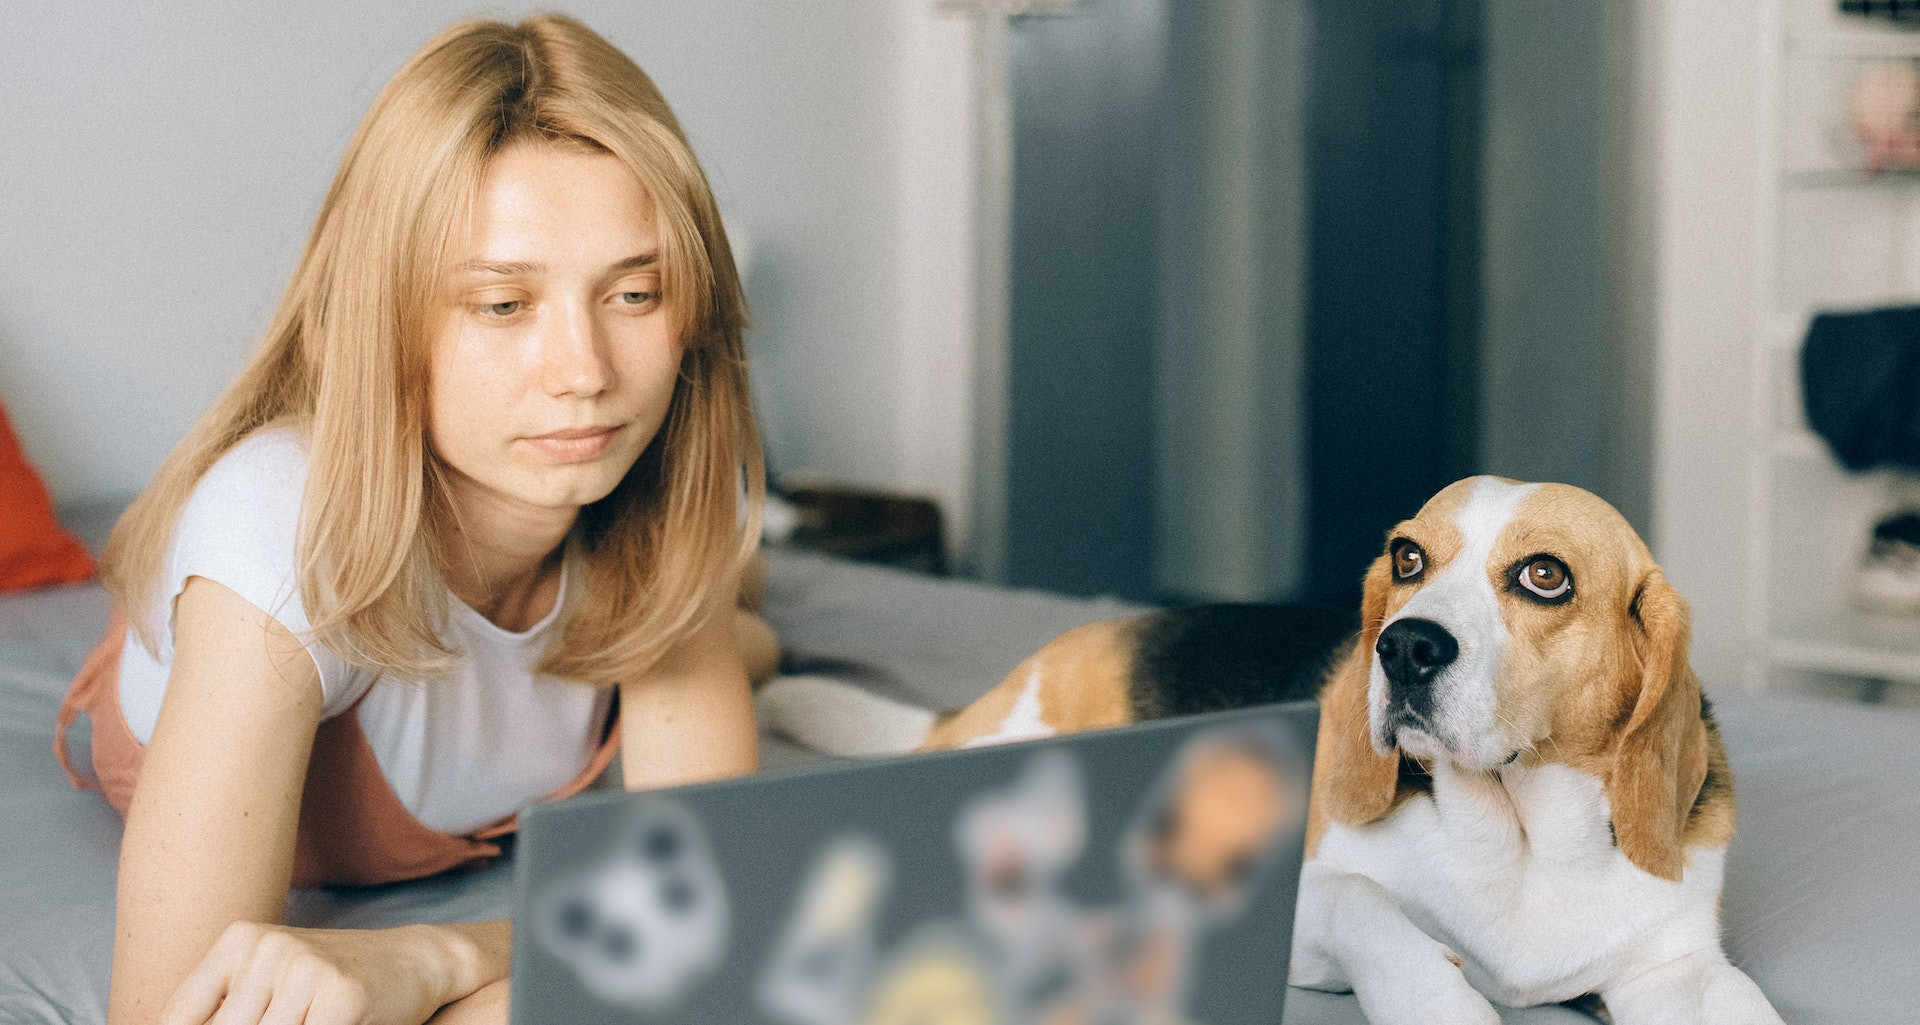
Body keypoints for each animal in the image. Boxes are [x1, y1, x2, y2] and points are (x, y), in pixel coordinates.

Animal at [752, 477, 1781, 1021]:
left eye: (1544, 576)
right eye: (1409, 558)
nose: (1403, 645)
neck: (1521, 841)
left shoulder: (1669, 965)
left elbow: (1737, 1001)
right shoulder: (1312, 900)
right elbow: (1369, 903)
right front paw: (1440, 1000)